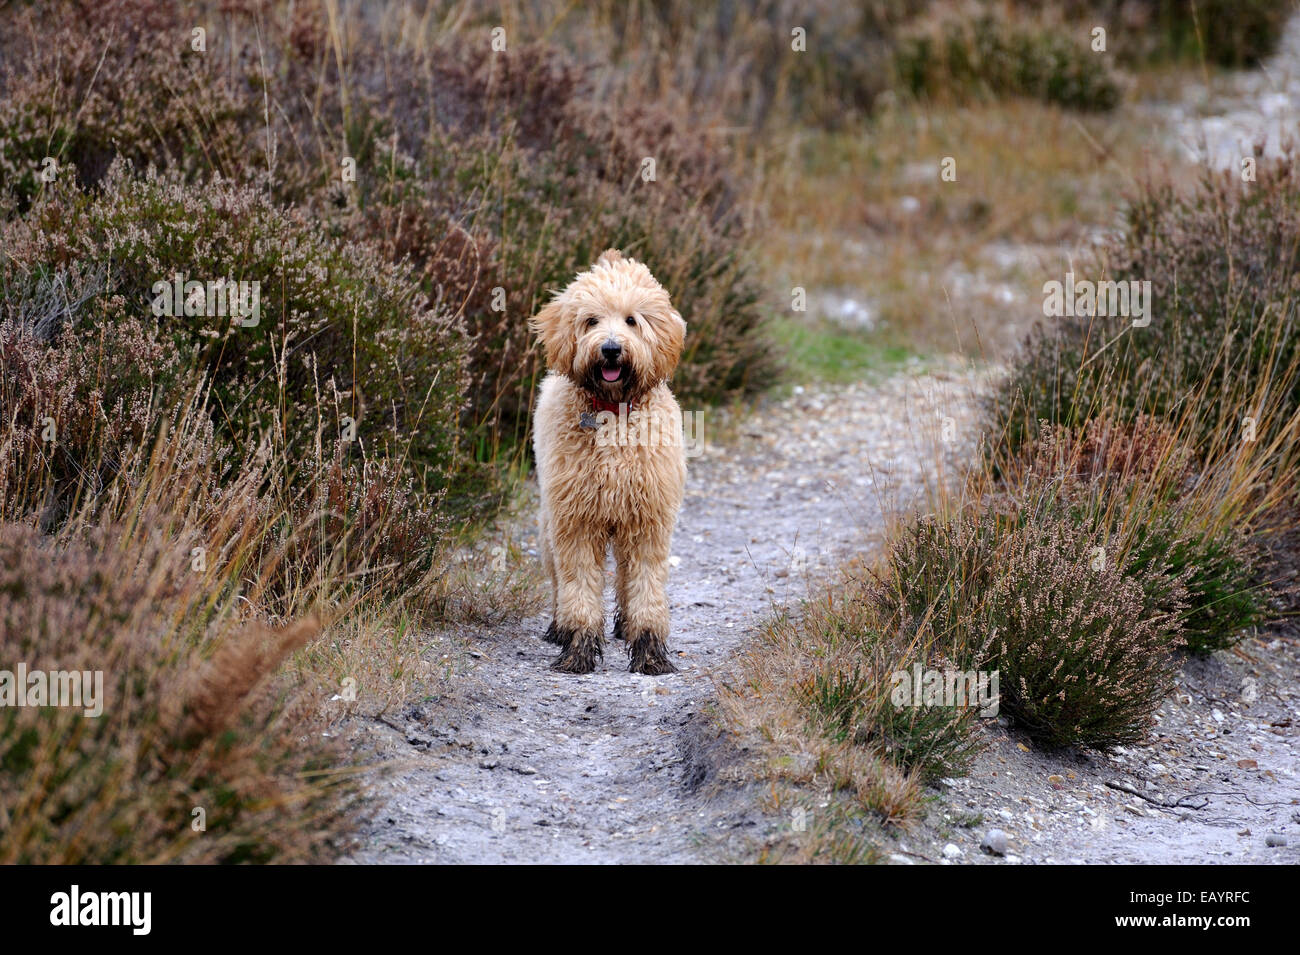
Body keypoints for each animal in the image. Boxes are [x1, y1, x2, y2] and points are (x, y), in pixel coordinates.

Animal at [527, 250, 691, 675]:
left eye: (632, 320)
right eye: (591, 321)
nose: (612, 349)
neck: (612, 413)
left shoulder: (649, 521)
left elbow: (647, 588)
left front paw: (650, 650)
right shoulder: (577, 522)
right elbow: (580, 589)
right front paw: (578, 648)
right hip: (550, 520)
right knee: (558, 581)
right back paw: (559, 627)